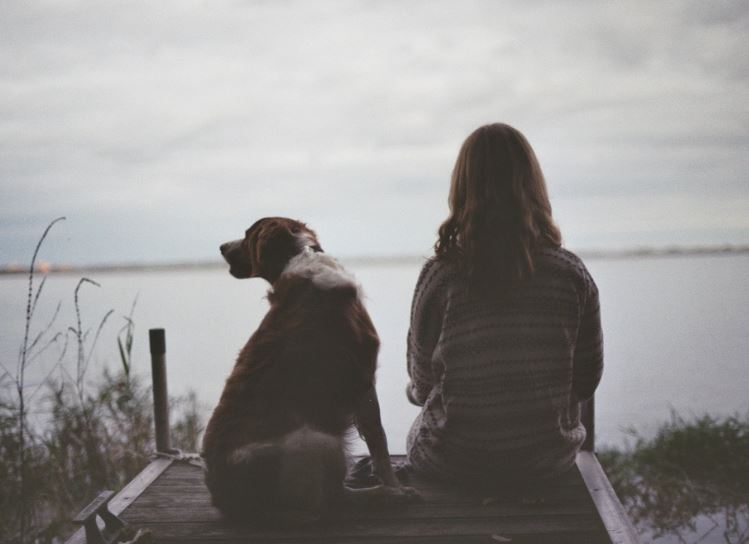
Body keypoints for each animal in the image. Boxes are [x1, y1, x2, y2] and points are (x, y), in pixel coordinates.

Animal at [202, 217, 418, 524]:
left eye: (246, 235)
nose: (221, 247)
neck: (303, 256)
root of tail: (225, 499)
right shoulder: (363, 379)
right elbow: (381, 445)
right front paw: (394, 484)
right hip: (319, 440)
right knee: (333, 501)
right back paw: (389, 495)